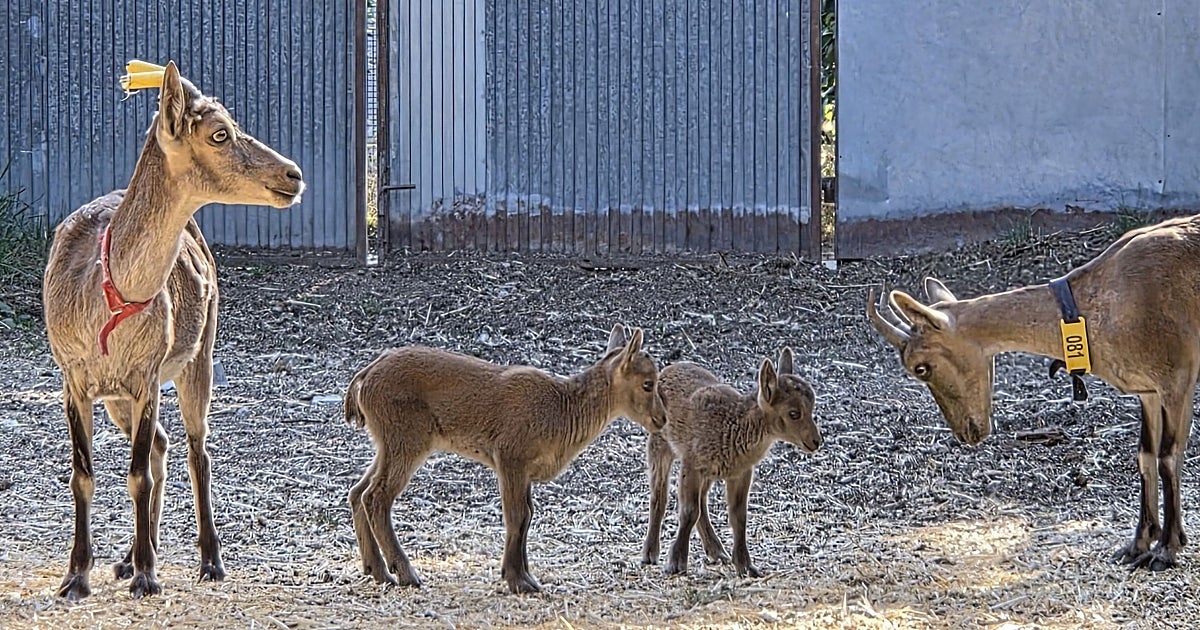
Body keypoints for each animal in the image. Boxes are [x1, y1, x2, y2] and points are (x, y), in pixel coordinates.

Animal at [42, 62, 304, 599]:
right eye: (219, 132)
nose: (293, 174)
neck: (107, 300)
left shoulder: (147, 372)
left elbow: (136, 474)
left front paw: (147, 576)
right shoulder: (72, 375)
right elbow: (83, 474)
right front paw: (77, 576)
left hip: (199, 356)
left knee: (196, 449)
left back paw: (208, 560)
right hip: (118, 396)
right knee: (163, 445)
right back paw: (129, 556)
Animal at [343, 324, 668, 594]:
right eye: (648, 383)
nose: (661, 419)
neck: (561, 411)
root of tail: (363, 379)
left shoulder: (526, 472)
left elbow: (528, 515)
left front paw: (527, 577)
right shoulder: (510, 458)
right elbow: (516, 515)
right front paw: (517, 581)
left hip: (387, 443)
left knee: (358, 491)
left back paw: (377, 570)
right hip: (407, 440)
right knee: (376, 496)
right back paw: (406, 574)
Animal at [641, 349, 821, 577]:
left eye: (812, 407)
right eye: (794, 413)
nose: (816, 441)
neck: (734, 425)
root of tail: (666, 370)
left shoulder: (741, 472)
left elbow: (738, 516)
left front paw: (746, 566)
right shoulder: (691, 463)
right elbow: (689, 511)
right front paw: (676, 563)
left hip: (709, 472)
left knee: (702, 501)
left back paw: (717, 551)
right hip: (659, 442)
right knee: (659, 495)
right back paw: (650, 554)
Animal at [867, 215, 1200, 570]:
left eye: (920, 368)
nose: (967, 433)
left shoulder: (1178, 376)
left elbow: (1168, 457)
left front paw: (1167, 549)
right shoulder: (1148, 390)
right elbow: (1145, 455)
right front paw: (1137, 545)